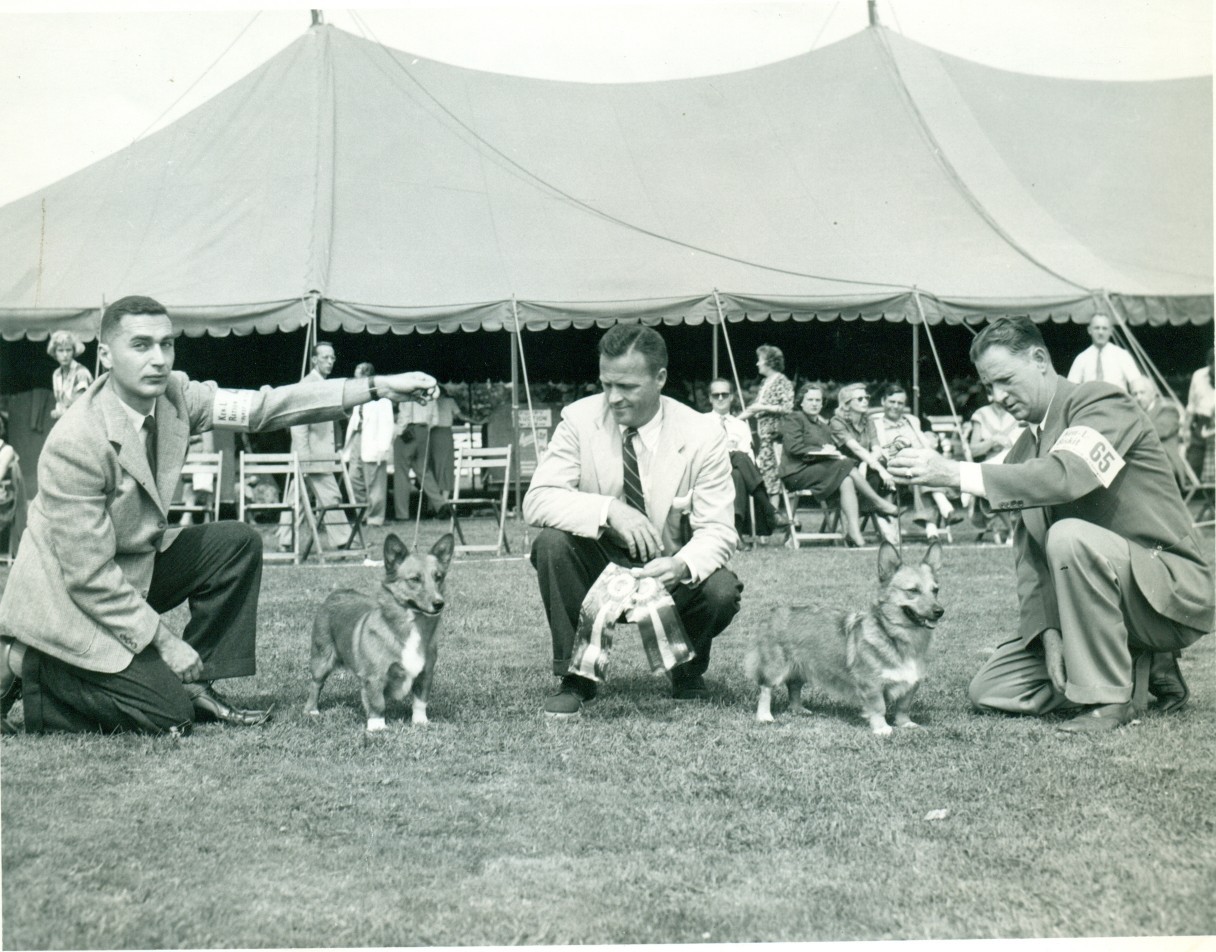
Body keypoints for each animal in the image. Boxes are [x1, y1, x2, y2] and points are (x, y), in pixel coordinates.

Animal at [304, 532, 457, 734]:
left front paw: (420, 722)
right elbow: (377, 703)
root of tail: (335, 594)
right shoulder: (374, 676)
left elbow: (420, 701)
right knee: (316, 684)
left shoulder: (425, 674)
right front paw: (377, 727)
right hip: (322, 659)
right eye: (415, 579)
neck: (412, 625)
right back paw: (312, 710)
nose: (439, 604)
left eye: (438, 577)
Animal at [744, 544, 943, 739]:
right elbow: (879, 707)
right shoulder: (871, 684)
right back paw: (765, 716)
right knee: (766, 689)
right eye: (913, 591)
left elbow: (903, 707)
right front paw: (882, 728)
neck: (900, 636)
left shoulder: (911, 684)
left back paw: (799, 709)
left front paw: (906, 724)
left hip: (800, 667)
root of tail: (774, 612)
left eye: (936, 590)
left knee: (794, 687)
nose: (940, 611)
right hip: (775, 667)